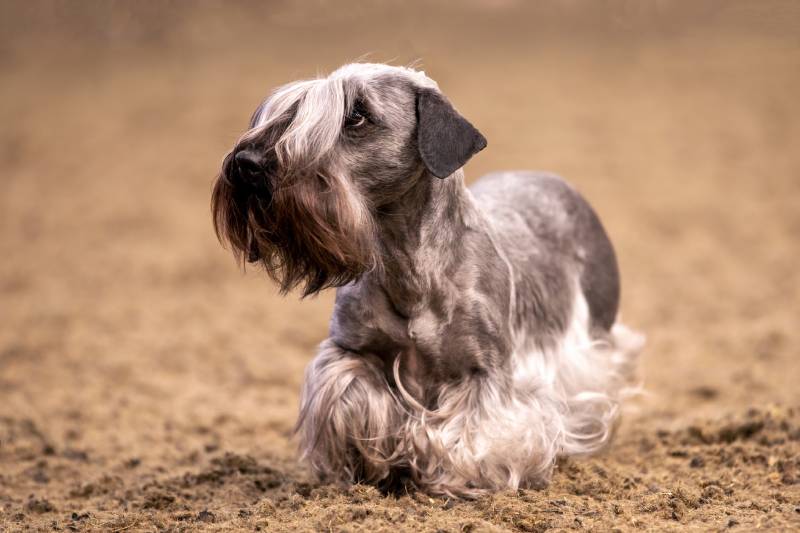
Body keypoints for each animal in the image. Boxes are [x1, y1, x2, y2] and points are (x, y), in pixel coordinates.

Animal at [211, 63, 644, 498]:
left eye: (357, 115)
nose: (247, 163)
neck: (410, 269)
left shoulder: (486, 372)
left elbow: (473, 436)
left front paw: (453, 475)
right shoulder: (349, 351)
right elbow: (357, 399)